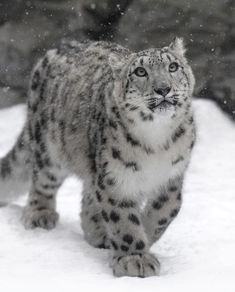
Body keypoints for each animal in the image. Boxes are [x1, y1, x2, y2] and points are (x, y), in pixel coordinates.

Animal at [0, 37, 195, 278]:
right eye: (140, 71)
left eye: (173, 67)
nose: (163, 88)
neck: (157, 141)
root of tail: (58, 47)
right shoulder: (116, 179)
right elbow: (123, 219)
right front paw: (135, 258)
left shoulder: (171, 178)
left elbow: (164, 213)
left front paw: (143, 239)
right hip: (49, 148)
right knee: (43, 181)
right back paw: (40, 215)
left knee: (88, 196)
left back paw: (97, 233)